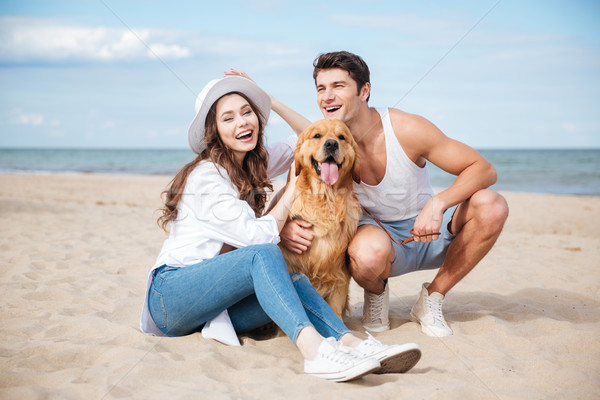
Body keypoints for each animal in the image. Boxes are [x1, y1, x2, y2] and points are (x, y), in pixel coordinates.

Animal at [280, 119, 360, 318]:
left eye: (342, 137)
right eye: (317, 135)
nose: (331, 144)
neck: (325, 198)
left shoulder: (339, 275)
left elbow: (335, 310)